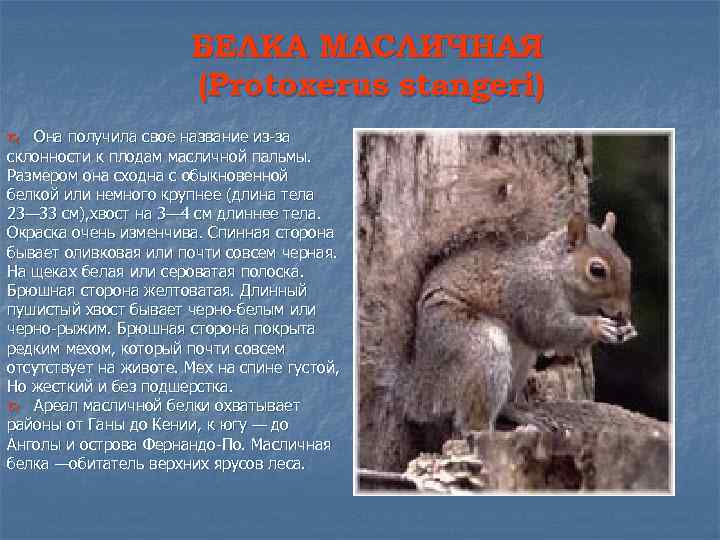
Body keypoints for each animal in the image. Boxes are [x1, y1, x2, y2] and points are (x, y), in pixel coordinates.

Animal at [404, 210, 637, 434]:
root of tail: (420, 391)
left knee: (504, 404)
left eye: (628, 263)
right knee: (469, 422)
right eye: (597, 270)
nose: (623, 313)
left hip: (522, 361)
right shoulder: (531, 292)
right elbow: (544, 328)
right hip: (477, 347)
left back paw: (525, 415)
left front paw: (626, 329)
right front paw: (599, 327)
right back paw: (484, 431)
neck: (555, 270)